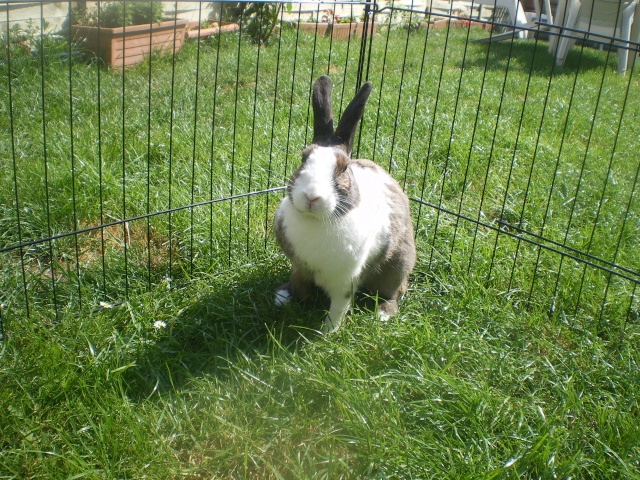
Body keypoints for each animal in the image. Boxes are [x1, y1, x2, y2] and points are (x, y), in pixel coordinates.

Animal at [272, 76, 418, 334]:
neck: (315, 222)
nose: (311, 196)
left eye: (343, 168)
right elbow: (299, 285)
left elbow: (338, 308)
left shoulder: (344, 281)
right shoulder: (299, 267)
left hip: (398, 265)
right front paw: (289, 298)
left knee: (394, 292)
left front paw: (326, 332)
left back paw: (383, 314)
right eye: (303, 158)